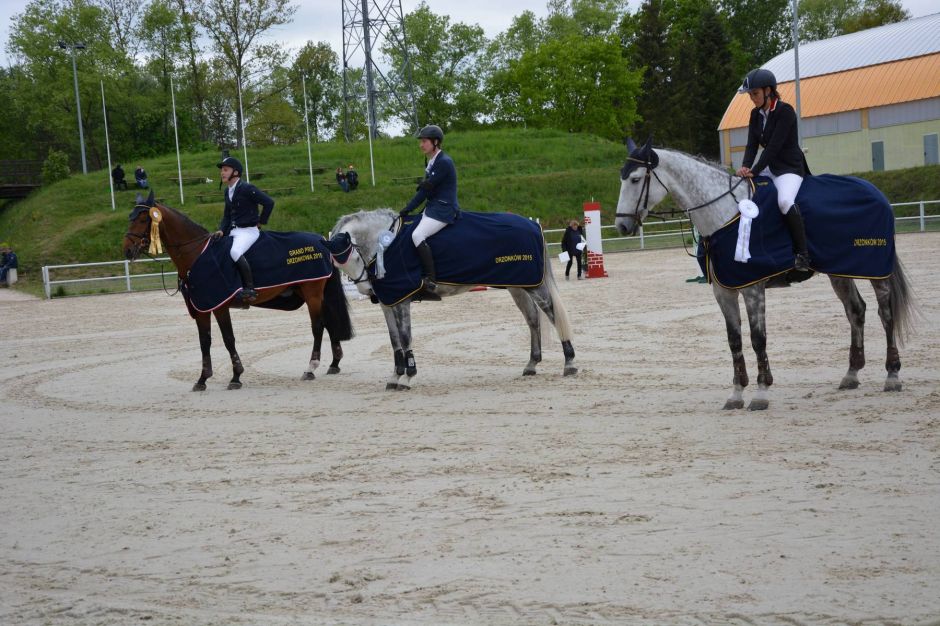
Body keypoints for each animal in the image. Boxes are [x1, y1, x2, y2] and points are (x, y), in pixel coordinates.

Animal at [123, 192, 353, 391]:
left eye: (142, 219)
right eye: (130, 218)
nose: (126, 250)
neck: (197, 254)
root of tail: (322, 241)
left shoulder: (220, 304)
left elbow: (228, 339)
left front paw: (236, 376)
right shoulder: (202, 307)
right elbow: (205, 341)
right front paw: (202, 379)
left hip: (312, 292)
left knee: (318, 326)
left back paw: (311, 368)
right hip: (310, 293)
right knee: (329, 322)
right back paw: (334, 363)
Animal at [328, 208, 577, 390]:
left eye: (354, 257)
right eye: (339, 265)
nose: (367, 288)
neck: (386, 245)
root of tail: (532, 225)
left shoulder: (402, 300)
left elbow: (406, 337)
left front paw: (408, 376)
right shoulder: (388, 302)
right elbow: (394, 340)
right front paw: (395, 376)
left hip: (533, 286)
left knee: (551, 313)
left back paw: (570, 363)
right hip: (518, 286)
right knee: (533, 319)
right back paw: (532, 365)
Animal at [614, 138, 916, 411]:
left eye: (636, 179)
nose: (621, 225)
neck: (725, 213)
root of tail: (875, 191)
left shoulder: (753, 288)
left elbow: (758, 339)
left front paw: (760, 393)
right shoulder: (724, 291)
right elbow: (734, 340)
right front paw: (736, 394)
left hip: (876, 270)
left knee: (885, 313)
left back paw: (892, 375)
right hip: (840, 270)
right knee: (856, 311)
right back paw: (851, 375)